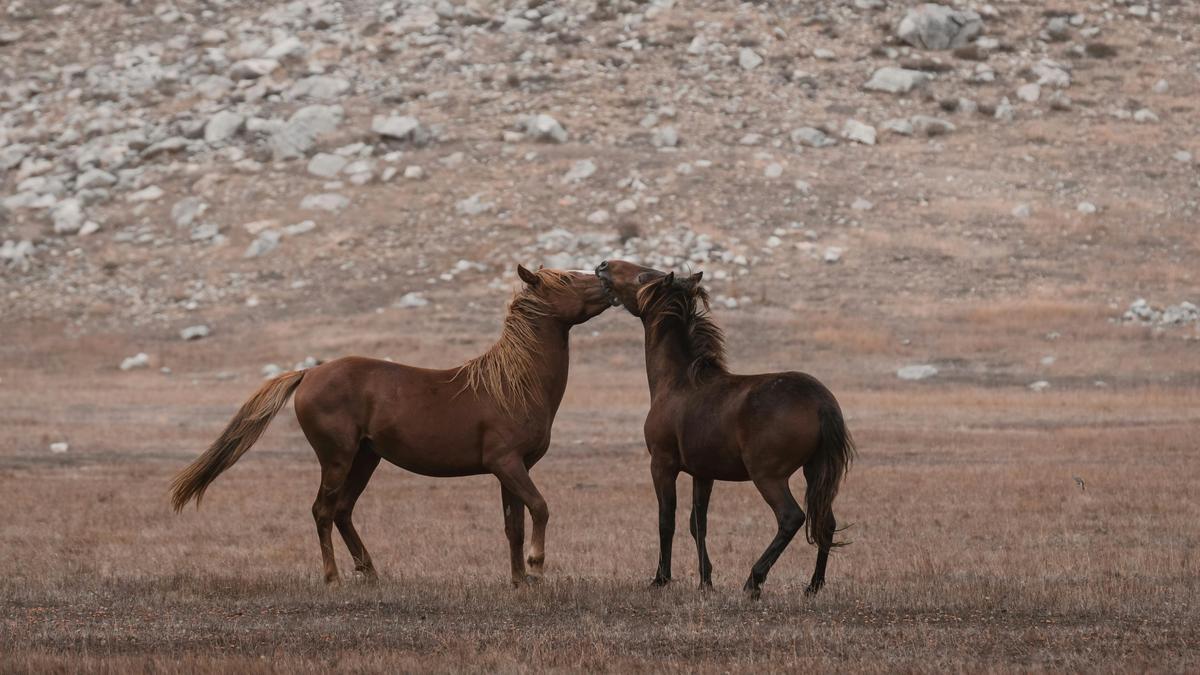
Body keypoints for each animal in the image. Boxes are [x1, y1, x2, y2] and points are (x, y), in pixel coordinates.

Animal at [171, 266, 609, 583]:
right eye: (566, 279)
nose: (605, 277)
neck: (514, 384)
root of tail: (309, 373)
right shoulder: (507, 463)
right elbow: (540, 508)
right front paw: (536, 565)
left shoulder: (514, 468)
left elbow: (513, 525)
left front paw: (520, 582)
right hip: (337, 458)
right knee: (322, 511)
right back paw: (333, 578)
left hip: (366, 458)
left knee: (342, 510)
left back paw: (370, 572)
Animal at [597, 260, 859, 595]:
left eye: (643, 276)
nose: (603, 266)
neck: (677, 382)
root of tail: (821, 402)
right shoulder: (703, 473)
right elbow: (698, 524)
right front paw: (705, 582)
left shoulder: (662, 464)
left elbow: (666, 520)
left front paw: (661, 579)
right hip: (815, 470)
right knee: (825, 522)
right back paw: (812, 586)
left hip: (768, 476)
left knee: (791, 518)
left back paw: (754, 581)